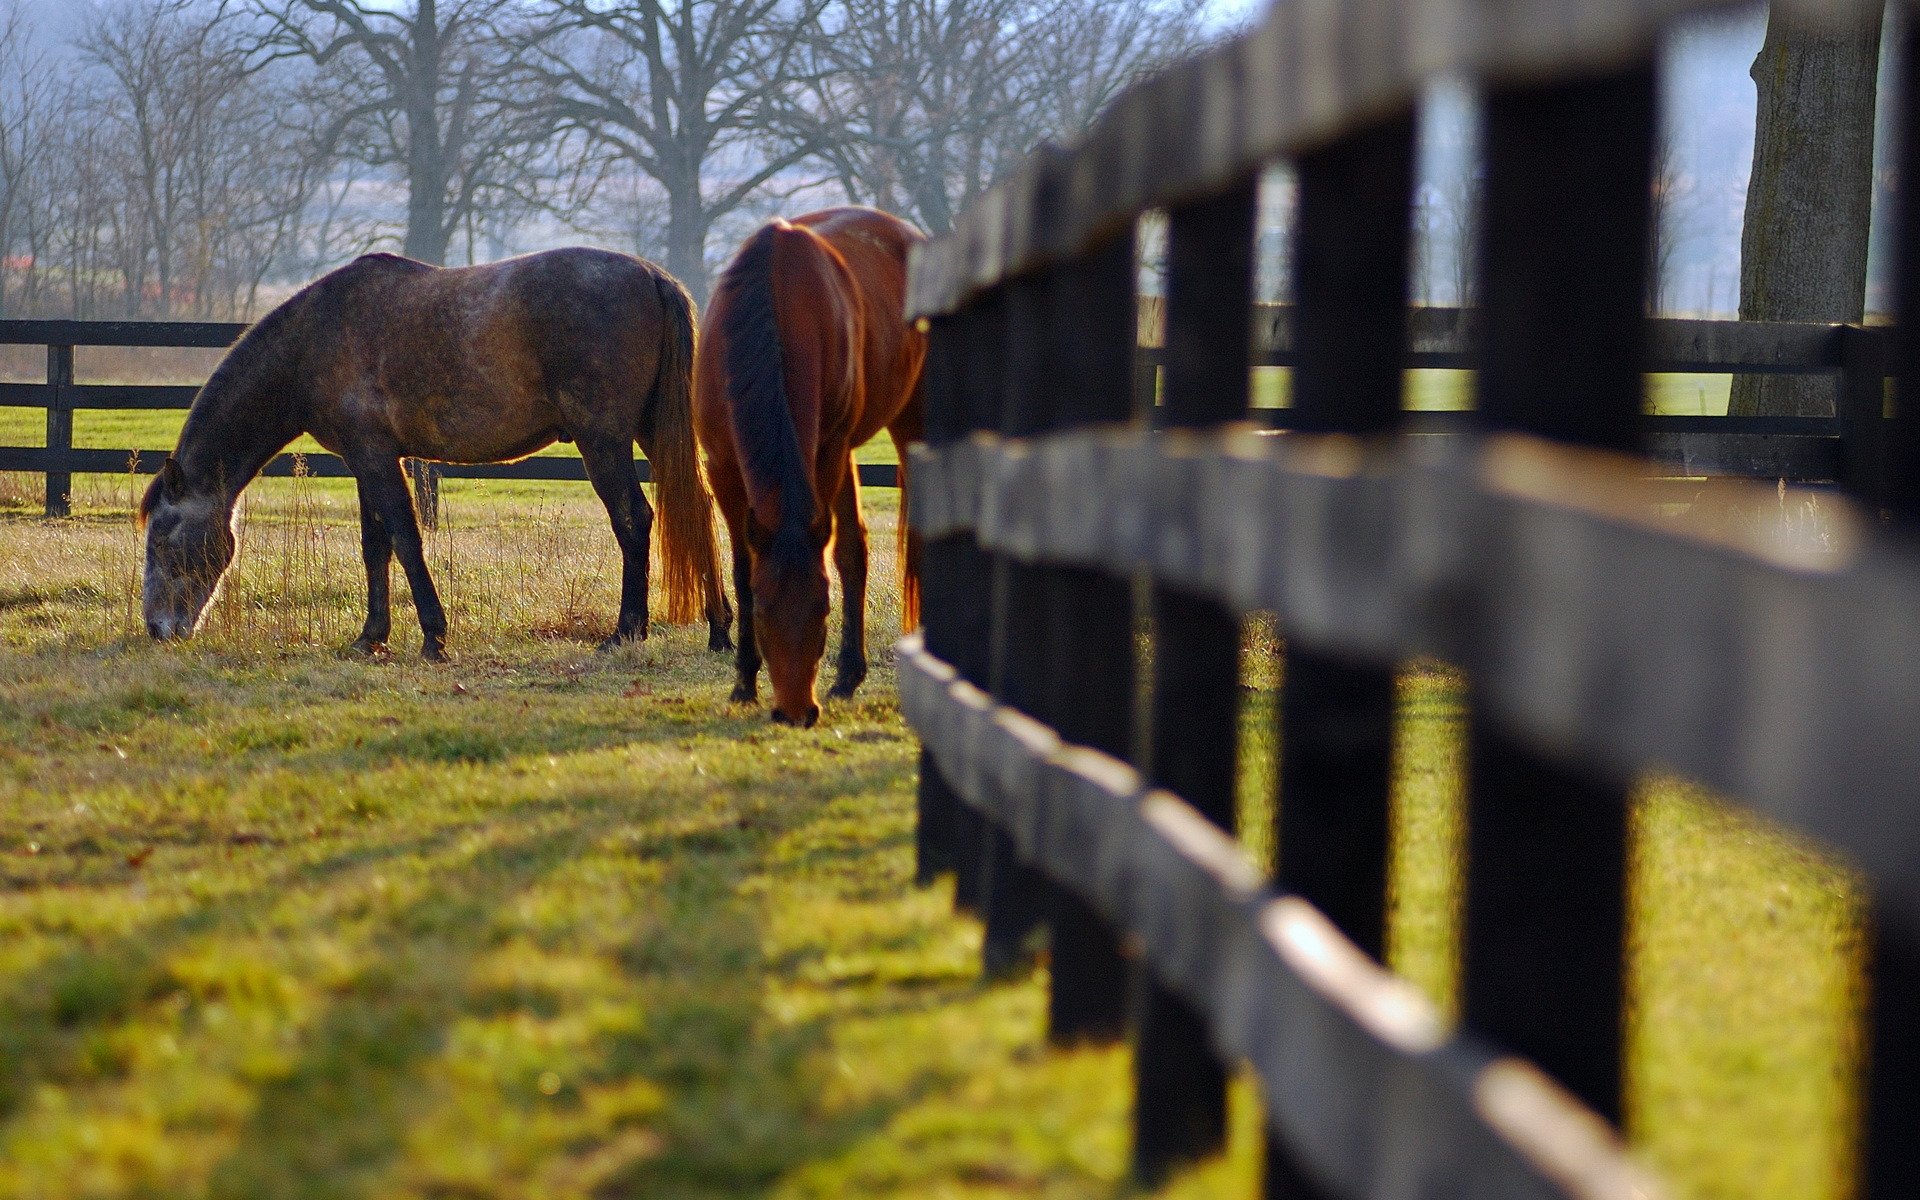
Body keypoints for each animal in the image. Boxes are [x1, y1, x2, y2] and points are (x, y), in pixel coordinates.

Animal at [139, 248, 731, 661]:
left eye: (163, 537)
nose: (156, 630)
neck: (314, 339)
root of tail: (651, 276)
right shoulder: (366, 461)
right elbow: (374, 546)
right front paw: (370, 637)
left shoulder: (377, 459)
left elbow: (405, 539)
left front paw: (433, 638)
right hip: (651, 433)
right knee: (696, 510)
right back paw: (719, 628)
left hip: (603, 441)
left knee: (634, 520)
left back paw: (628, 631)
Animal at [694, 207, 926, 727]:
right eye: (762, 610)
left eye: (822, 608)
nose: (797, 712)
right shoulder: (722, 466)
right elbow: (741, 566)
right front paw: (744, 682)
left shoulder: (826, 452)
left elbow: (837, 556)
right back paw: (847, 677)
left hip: (907, 421)